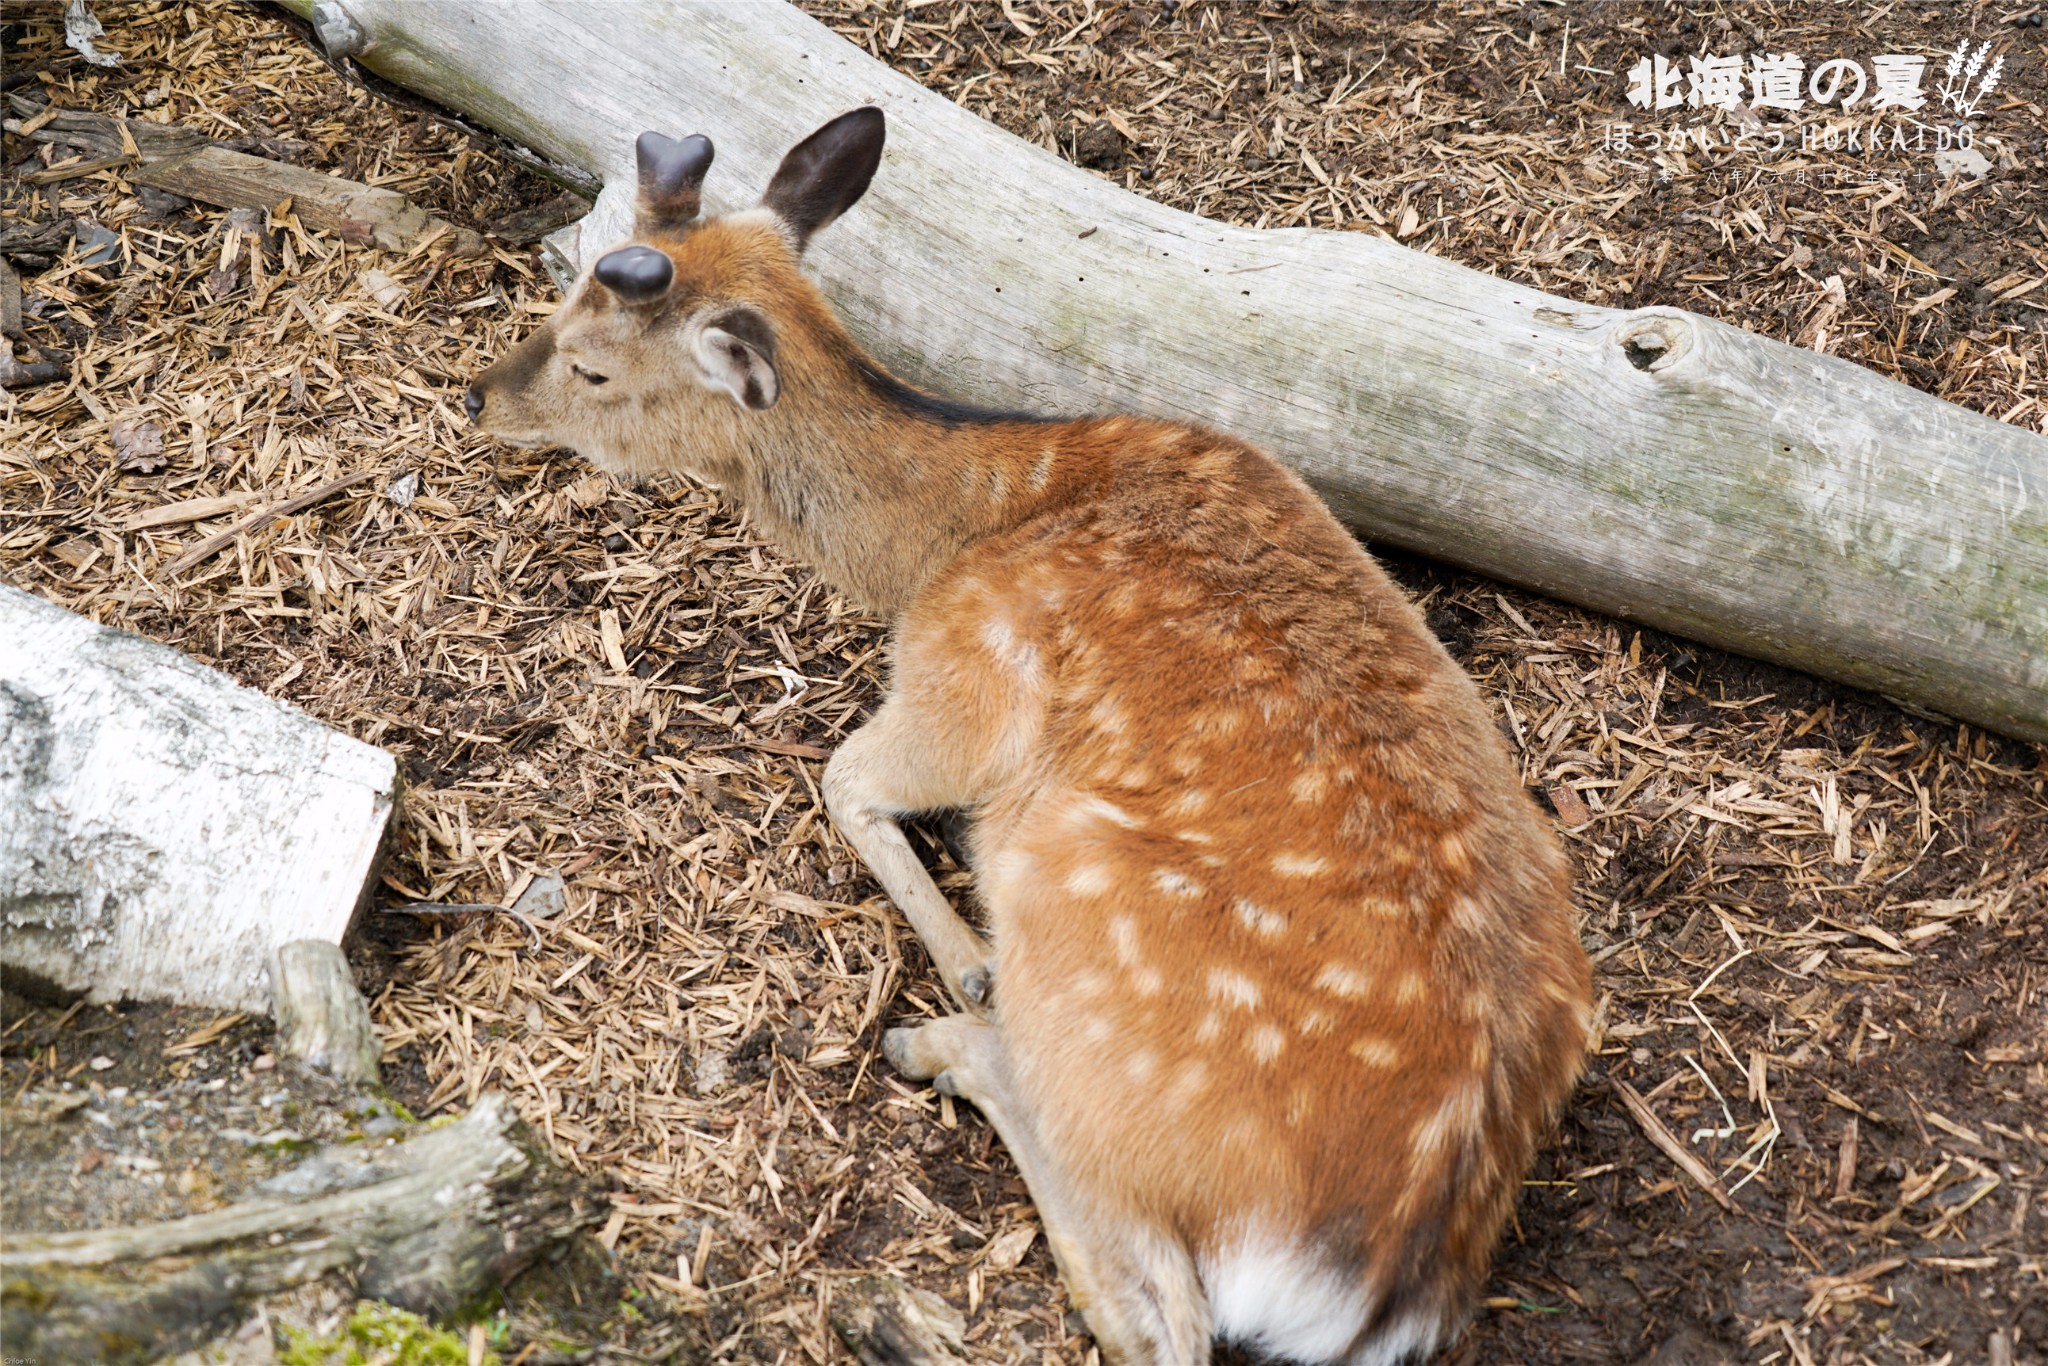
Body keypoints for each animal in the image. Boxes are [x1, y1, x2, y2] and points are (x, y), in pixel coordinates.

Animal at [471, 107, 1589, 1366]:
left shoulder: (960, 680)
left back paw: (953, 1034)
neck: (945, 541)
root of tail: (1385, 1275)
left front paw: (959, 953)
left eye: (592, 364)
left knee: (1164, 1314)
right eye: (562, 299)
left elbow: (843, 777)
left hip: (1072, 902)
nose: (478, 396)